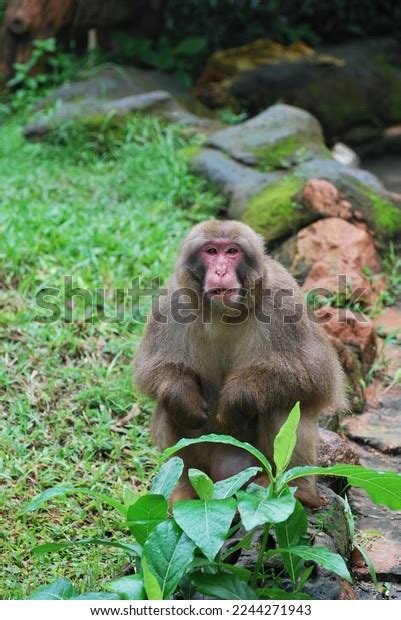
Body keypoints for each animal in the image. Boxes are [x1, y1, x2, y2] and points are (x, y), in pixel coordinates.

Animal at [133, 220, 346, 506]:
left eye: (232, 251)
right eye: (211, 251)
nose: (221, 270)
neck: (224, 313)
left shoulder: (284, 301)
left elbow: (317, 374)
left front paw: (237, 397)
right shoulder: (170, 302)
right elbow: (152, 368)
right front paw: (184, 395)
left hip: (254, 464)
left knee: (284, 402)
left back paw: (298, 490)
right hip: (210, 469)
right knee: (170, 406)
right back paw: (187, 489)